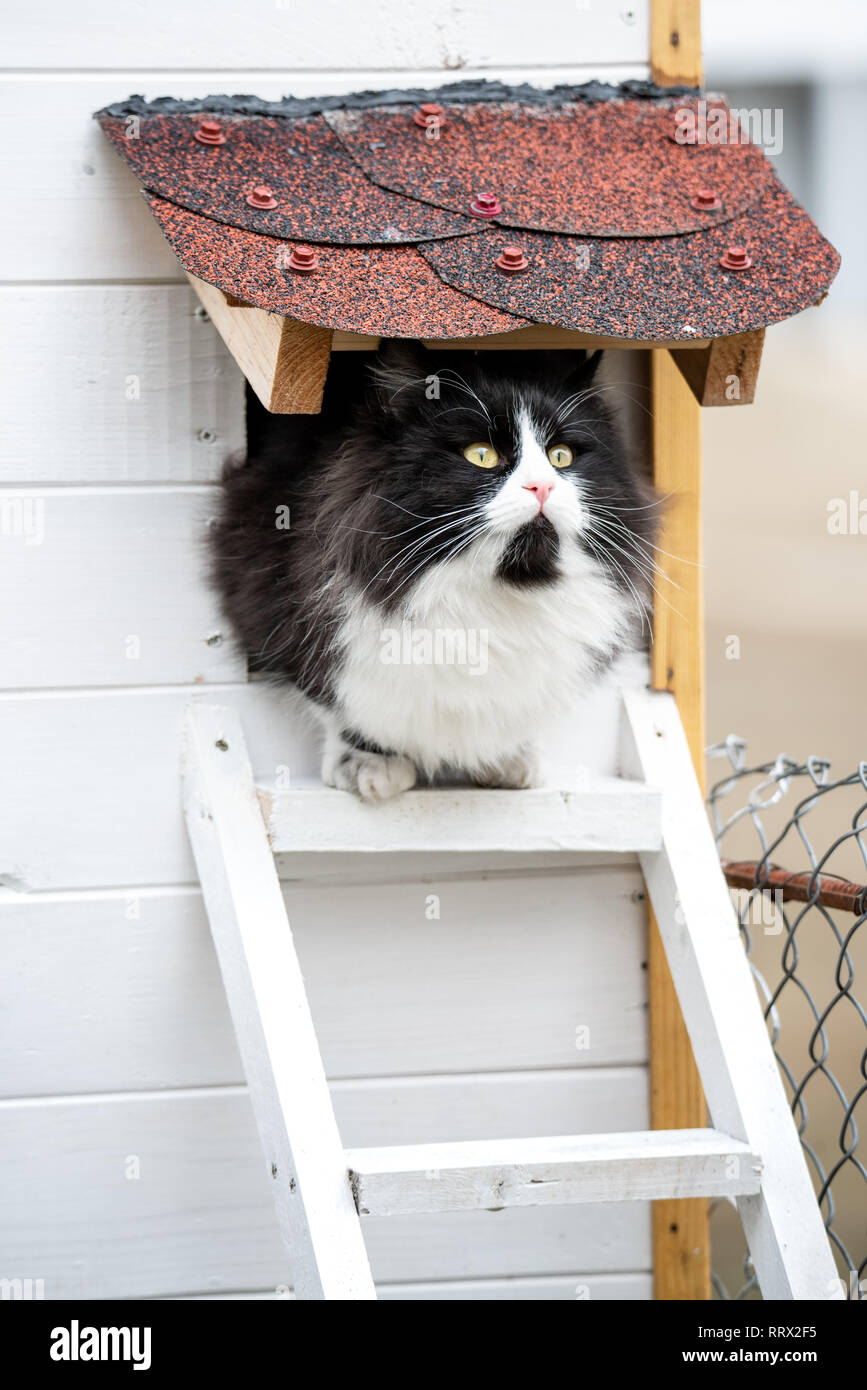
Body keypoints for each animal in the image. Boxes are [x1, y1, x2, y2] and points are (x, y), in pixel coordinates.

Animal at [209, 341, 655, 806]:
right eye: (481, 455)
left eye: (560, 456)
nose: (542, 487)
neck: (494, 598)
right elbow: (338, 704)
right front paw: (370, 765)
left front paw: (510, 758)